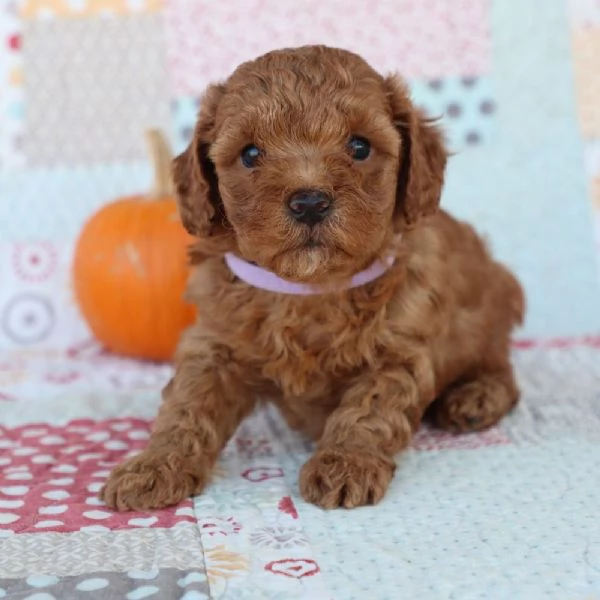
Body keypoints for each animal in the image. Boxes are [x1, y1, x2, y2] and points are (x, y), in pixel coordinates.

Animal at [103, 44, 524, 508]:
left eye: (359, 146)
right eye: (250, 154)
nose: (309, 203)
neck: (306, 289)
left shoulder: (399, 351)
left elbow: (369, 409)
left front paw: (345, 464)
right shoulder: (214, 344)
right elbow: (187, 406)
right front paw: (154, 467)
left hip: (490, 315)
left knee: (503, 371)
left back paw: (476, 397)